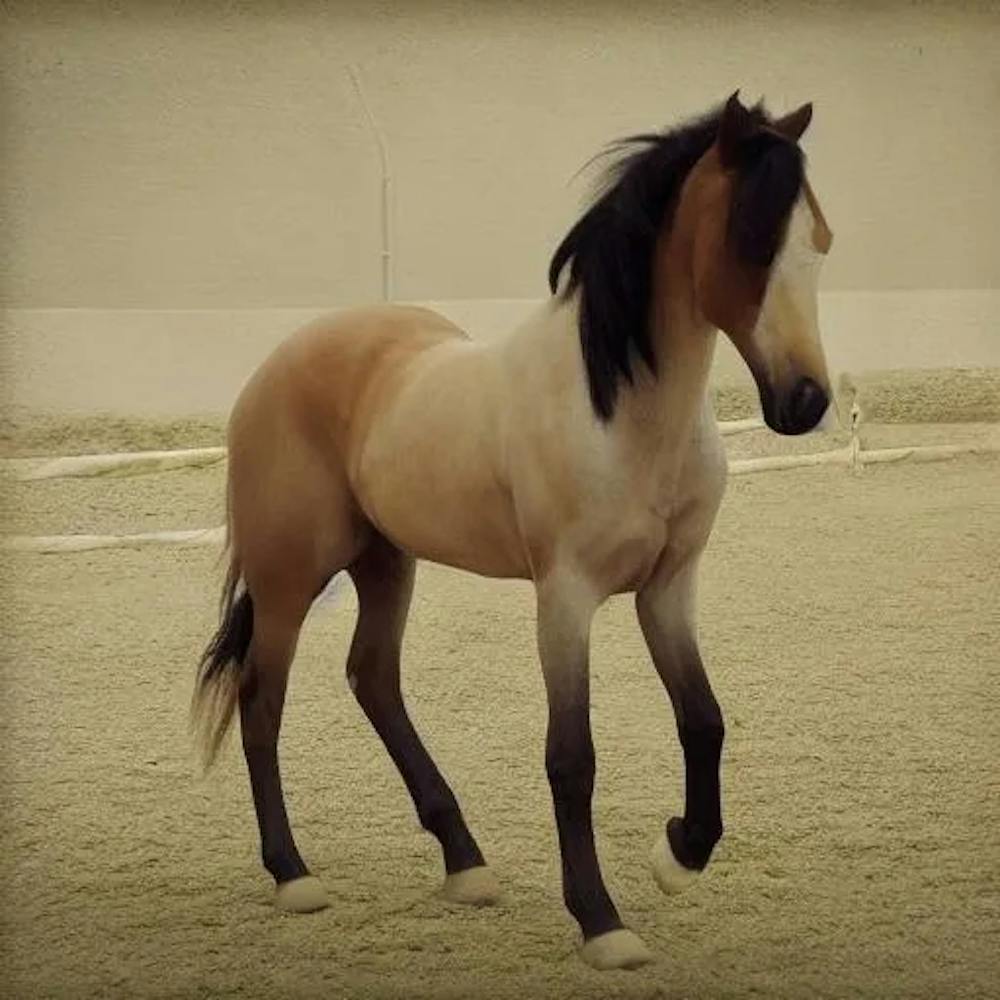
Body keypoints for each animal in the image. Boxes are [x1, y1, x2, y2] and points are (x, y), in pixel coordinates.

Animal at [192, 91, 834, 971]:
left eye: (820, 243)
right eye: (750, 242)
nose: (806, 402)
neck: (619, 409)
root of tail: (276, 366)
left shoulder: (668, 588)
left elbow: (703, 720)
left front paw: (678, 853)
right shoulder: (565, 598)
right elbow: (572, 758)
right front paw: (601, 921)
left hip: (386, 562)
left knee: (372, 678)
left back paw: (465, 864)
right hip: (292, 578)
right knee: (262, 700)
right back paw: (294, 875)